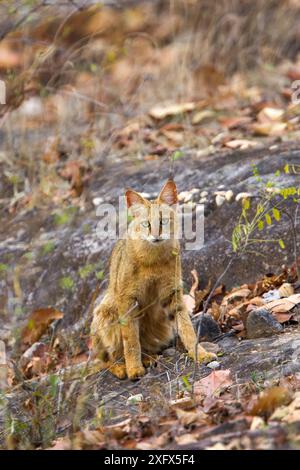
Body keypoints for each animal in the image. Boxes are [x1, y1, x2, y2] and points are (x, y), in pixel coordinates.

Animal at [90, 178, 217, 380]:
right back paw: (121, 367)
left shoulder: (172, 294)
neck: (153, 260)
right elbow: (130, 340)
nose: (156, 236)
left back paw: (148, 358)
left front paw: (201, 354)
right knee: (106, 359)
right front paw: (134, 369)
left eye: (163, 221)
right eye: (146, 224)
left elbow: (187, 328)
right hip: (105, 313)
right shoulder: (127, 299)